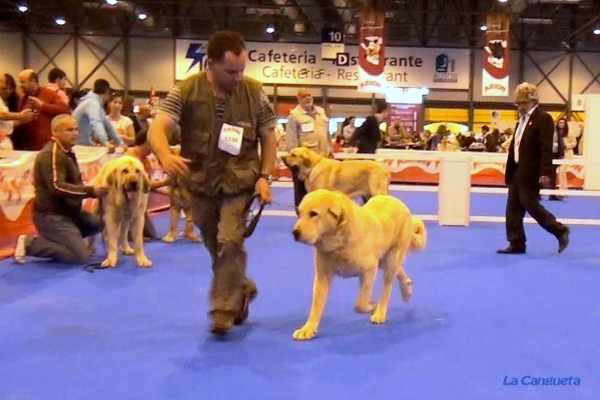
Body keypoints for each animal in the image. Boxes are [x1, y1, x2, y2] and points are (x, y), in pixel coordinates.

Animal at [290, 189, 426, 340]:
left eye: (313, 214)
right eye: (299, 213)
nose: (295, 233)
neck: (339, 242)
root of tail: (399, 202)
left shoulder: (369, 269)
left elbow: (360, 304)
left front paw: (372, 305)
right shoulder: (323, 275)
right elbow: (316, 306)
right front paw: (308, 329)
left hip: (392, 258)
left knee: (387, 287)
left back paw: (380, 312)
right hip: (385, 259)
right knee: (399, 272)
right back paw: (406, 290)